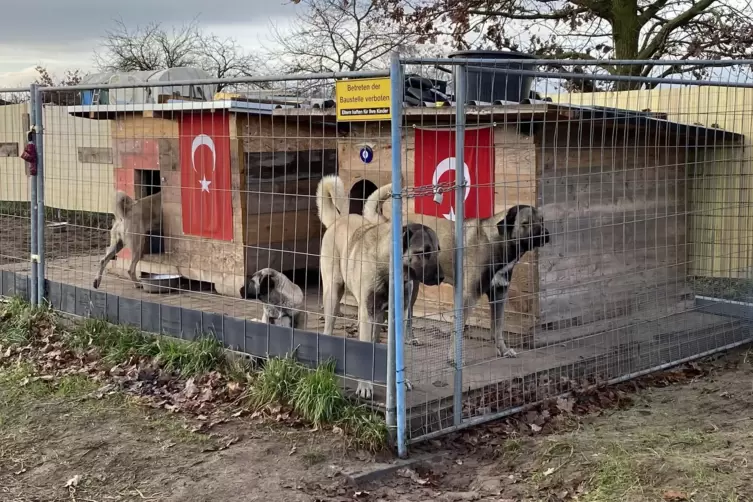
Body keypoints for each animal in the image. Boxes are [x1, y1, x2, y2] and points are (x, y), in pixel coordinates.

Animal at [314, 175, 444, 398]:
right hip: (333, 296)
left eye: (437, 250)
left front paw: (400, 381)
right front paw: (365, 386)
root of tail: (338, 220)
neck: (388, 268)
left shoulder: (396, 315)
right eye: (423, 252)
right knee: (329, 329)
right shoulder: (367, 312)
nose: (442, 277)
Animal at [362, 182, 548, 362]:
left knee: (408, 316)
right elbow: (458, 330)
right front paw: (454, 358)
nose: (546, 235)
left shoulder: (499, 294)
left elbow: (498, 328)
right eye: (526, 223)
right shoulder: (467, 296)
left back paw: (408, 339)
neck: (496, 242)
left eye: (542, 220)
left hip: (412, 288)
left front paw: (502, 350)